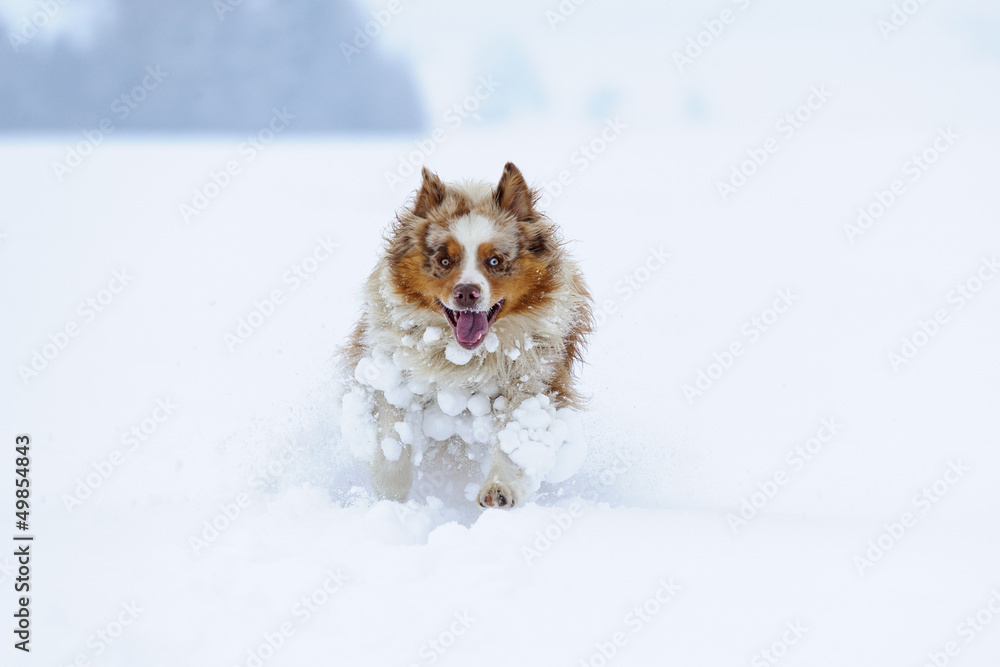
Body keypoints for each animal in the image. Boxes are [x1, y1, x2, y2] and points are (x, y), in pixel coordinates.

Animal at [344, 164, 592, 508]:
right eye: (444, 261)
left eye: (495, 261)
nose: (466, 293)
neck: (464, 357)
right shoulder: (392, 374)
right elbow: (393, 439)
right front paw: (390, 501)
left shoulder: (532, 380)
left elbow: (517, 439)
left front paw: (500, 489)